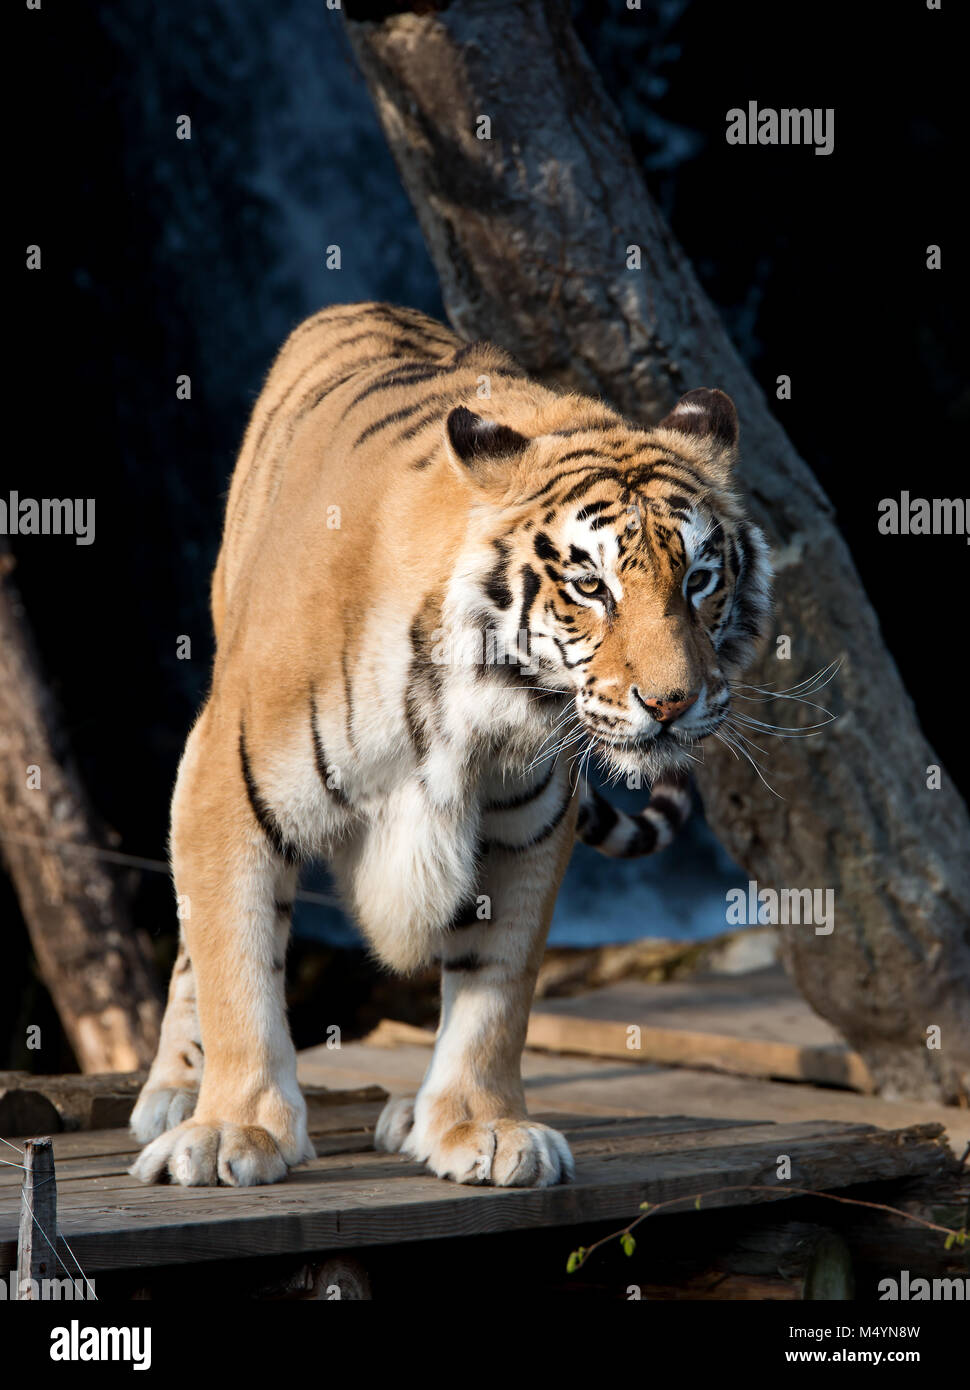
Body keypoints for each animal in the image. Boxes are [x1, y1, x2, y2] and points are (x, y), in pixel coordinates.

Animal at [128, 298, 772, 1189]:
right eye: (591, 587)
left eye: (700, 580)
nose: (673, 704)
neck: (484, 705)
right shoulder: (231, 783)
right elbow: (236, 962)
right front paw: (234, 1130)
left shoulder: (525, 829)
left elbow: (493, 989)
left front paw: (481, 1127)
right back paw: (173, 1092)